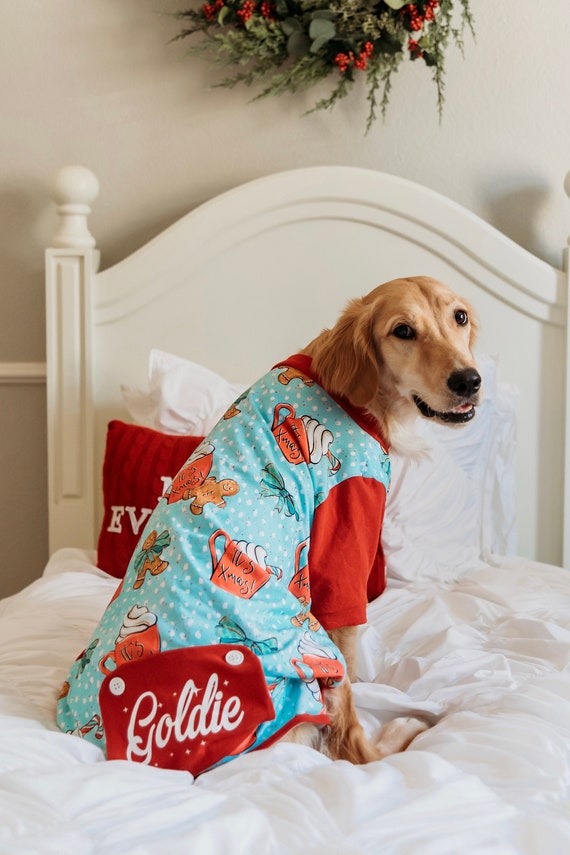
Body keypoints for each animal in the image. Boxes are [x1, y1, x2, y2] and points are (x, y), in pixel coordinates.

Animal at [57, 280, 478, 776]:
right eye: (404, 331)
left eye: (459, 318)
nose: (469, 380)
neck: (354, 395)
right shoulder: (348, 517)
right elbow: (350, 645)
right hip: (307, 648)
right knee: (356, 749)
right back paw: (410, 724)